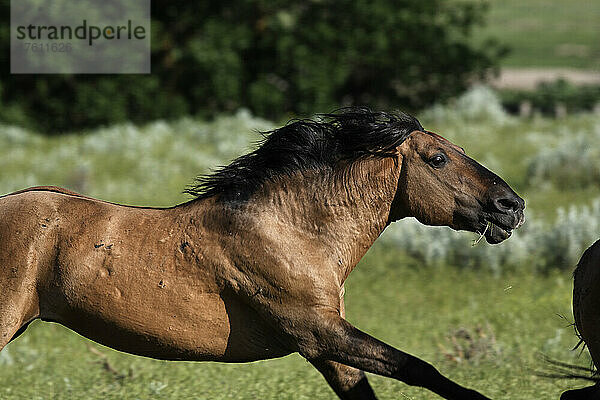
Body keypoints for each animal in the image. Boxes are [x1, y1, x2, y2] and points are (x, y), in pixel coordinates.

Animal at [0, 109, 524, 400]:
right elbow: (418, 367)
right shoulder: (317, 332)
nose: (511, 206)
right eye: (438, 158)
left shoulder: (328, 346)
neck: (291, 231)